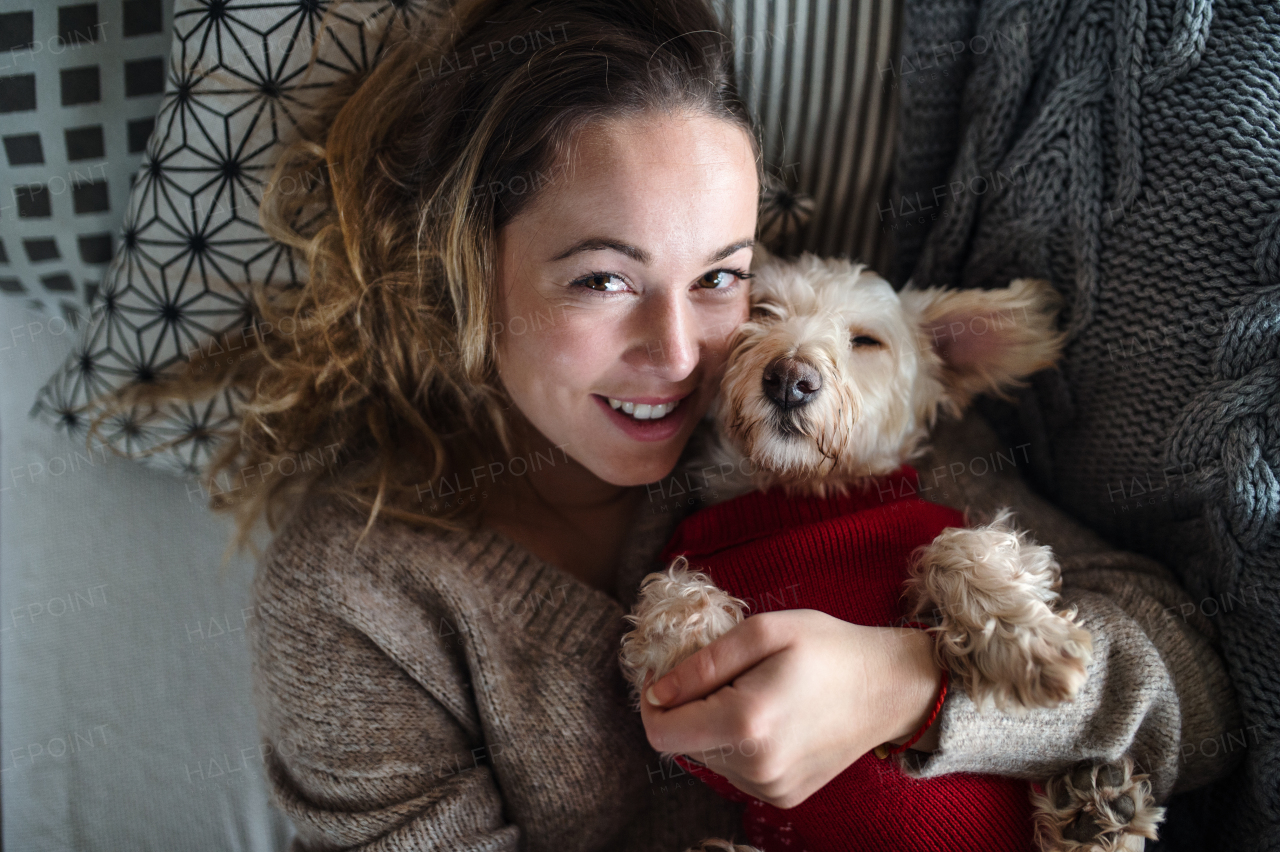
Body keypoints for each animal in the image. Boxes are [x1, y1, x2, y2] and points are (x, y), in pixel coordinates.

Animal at [616, 255, 1162, 849]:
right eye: (760, 311)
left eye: (866, 341)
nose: (789, 379)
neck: (803, 497)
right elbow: (671, 592)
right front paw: (696, 643)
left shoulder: (996, 545)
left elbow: (960, 546)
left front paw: (1027, 642)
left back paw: (1097, 813)